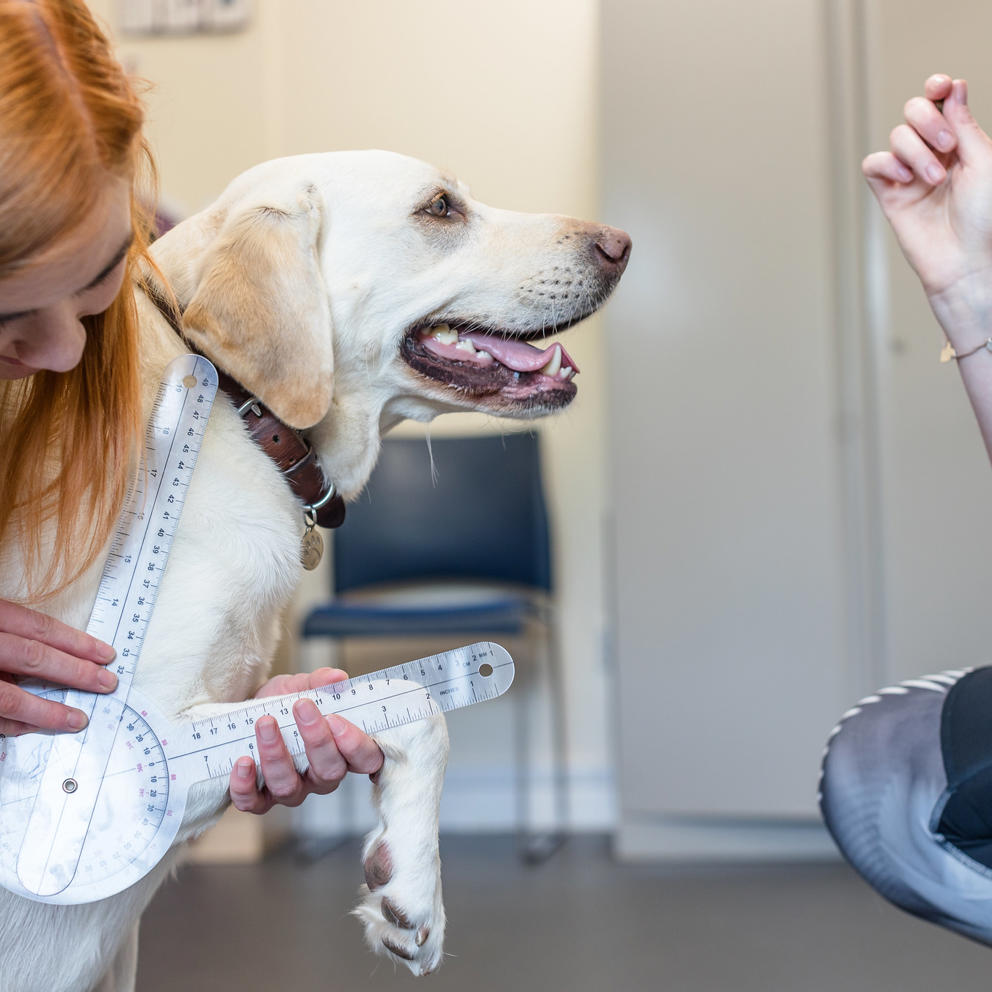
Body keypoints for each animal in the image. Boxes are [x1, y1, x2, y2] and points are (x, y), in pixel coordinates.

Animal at [0, 149, 632, 992]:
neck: (243, 412)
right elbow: (417, 704)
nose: (622, 244)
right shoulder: (114, 762)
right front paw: (412, 890)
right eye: (441, 207)